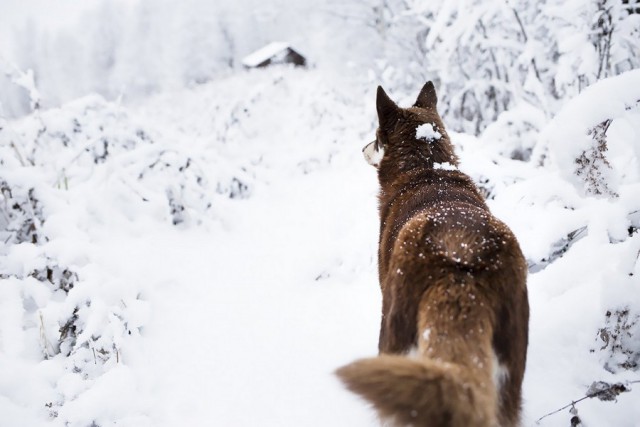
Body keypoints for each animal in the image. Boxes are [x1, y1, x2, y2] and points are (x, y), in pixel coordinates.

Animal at [338, 82, 528, 426]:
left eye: (376, 135)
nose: (362, 149)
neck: (428, 171)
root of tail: (460, 251)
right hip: (510, 370)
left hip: (394, 333)